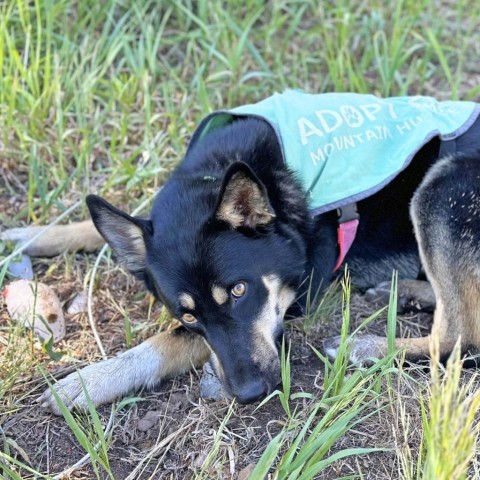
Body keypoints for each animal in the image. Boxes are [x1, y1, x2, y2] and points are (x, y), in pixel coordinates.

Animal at [1, 92, 478, 414]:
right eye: (188, 314)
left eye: (239, 291)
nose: (249, 394)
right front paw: (30, 235)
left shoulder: (299, 298)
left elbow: (166, 341)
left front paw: (88, 381)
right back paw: (407, 292)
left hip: (441, 185)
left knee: (461, 338)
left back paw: (364, 347)